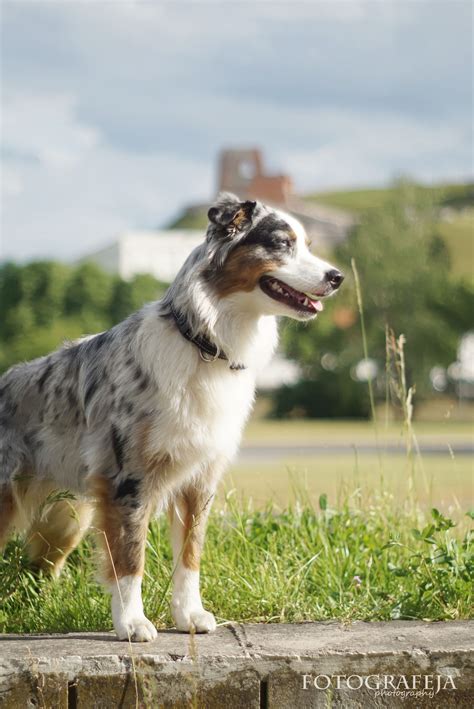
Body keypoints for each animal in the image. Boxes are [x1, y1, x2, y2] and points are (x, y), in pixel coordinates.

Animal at [0, 194, 340, 640]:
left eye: (309, 245)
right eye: (283, 244)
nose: (337, 277)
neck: (204, 342)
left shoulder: (199, 479)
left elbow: (190, 557)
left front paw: (189, 615)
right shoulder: (129, 480)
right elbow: (130, 559)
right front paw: (131, 623)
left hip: (68, 517)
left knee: (36, 567)